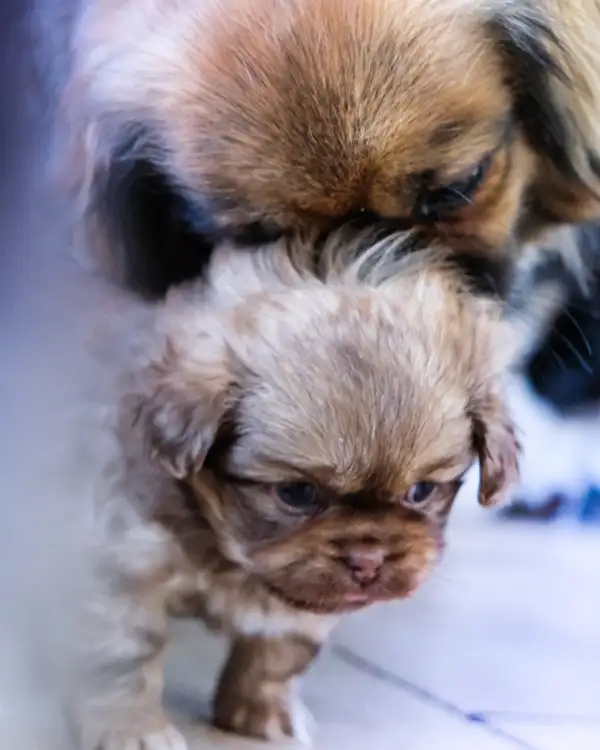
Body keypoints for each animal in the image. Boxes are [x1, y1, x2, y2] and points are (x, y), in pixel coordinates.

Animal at [69, 231, 520, 750]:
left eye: (421, 490)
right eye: (298, 494)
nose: (368, 560)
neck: (230, 554)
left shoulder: (304, 606)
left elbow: (277, 659)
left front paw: (262, 715)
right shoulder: (126, 568)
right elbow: (125, 655)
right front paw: (130, 726)